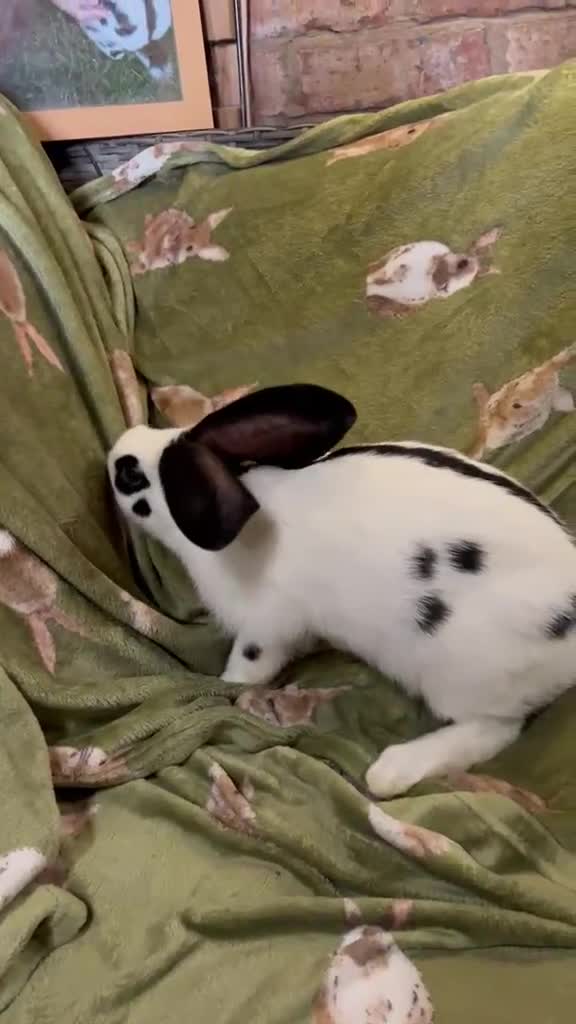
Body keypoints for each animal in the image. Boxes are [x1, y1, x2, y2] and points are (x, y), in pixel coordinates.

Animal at [107, 384, 576, 798]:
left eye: (131, 476)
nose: (115, 450)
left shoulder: (267, 627)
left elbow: (249, 666)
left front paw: (226, 685)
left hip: (460, 674)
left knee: (496, 728)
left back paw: (390, 771)